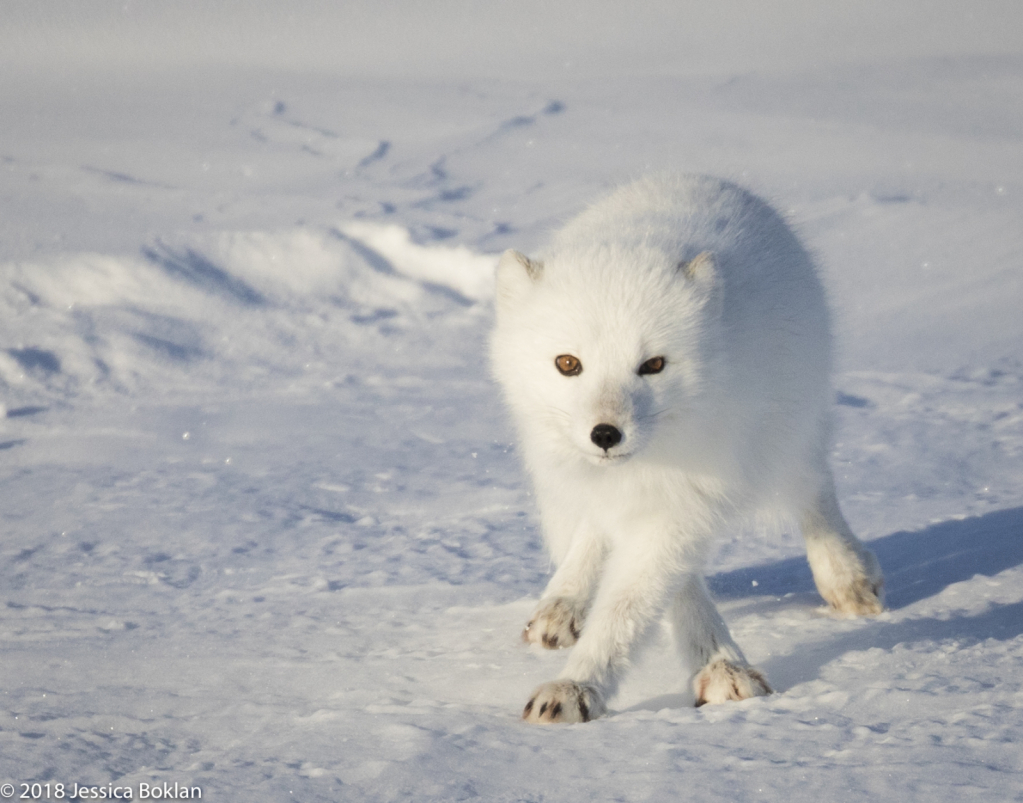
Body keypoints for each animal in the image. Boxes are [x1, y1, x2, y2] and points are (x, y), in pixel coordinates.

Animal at [491, 176, 883, 728]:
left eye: (653, 365)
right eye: (568, 364)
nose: (606, 435)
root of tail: (698, 177)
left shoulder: (688, 499)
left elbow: (628, 606)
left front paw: (576, 687)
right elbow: (649, 576)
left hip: (792, 432)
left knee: (812, 487)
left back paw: (846, 575)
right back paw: (562, 603)